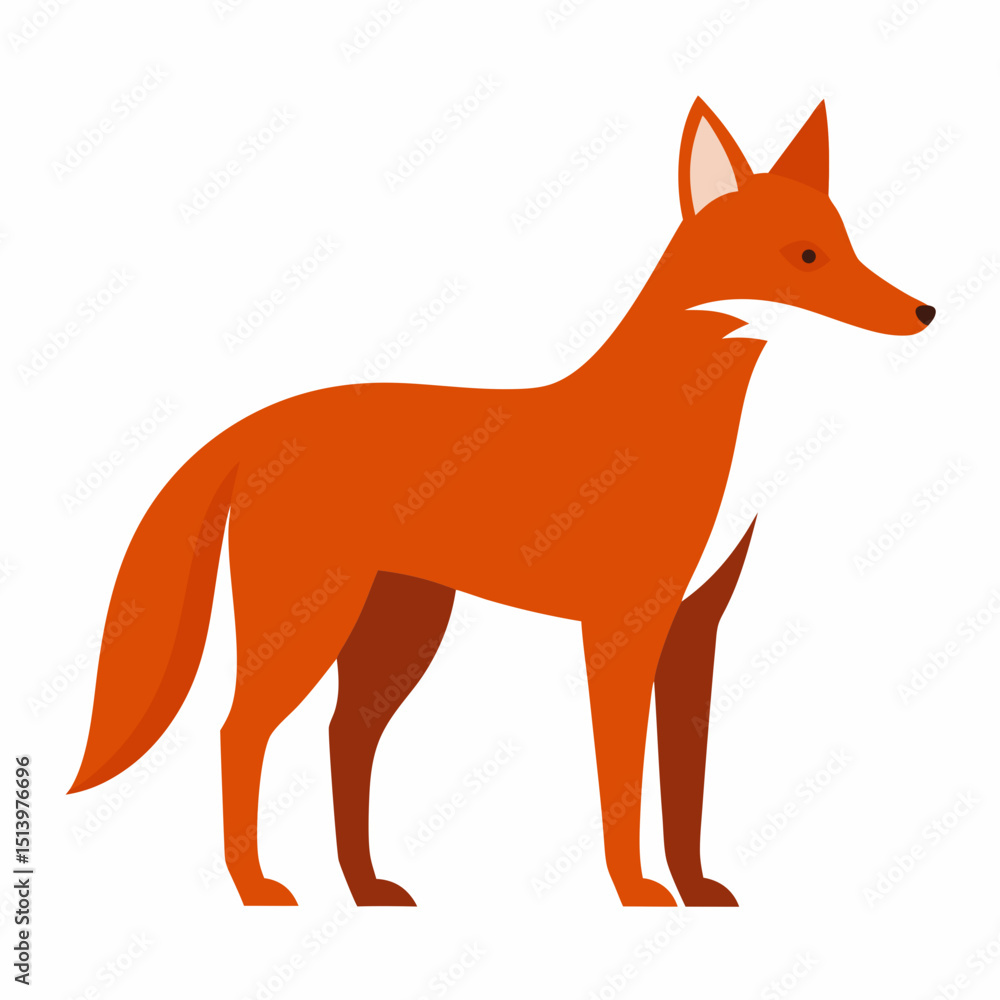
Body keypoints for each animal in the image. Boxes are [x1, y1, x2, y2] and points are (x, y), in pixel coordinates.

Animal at [70, 97, 934, 908]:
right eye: (808, 256)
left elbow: (684, 792)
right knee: (238, 733)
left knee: (344, 739)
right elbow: (624, 787)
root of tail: (258, 424)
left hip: (400, 631)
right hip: (309, 625)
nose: (924, 311)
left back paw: (365, 886)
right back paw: (255, 887)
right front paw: (635, 892)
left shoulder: (694, 628)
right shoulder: (623, 629)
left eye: (850, 243)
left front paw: (695, 892)